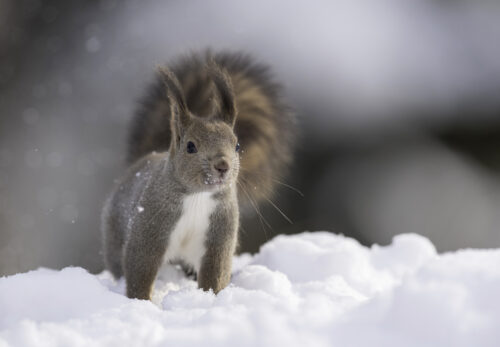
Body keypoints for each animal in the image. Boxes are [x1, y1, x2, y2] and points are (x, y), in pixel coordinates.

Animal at [102, 50, 296, 300]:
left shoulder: (219, 236)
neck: (197, 196)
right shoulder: (149, 229)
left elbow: (215, 273)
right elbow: (140, 272)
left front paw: (211, 298)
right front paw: (142, 302)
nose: (222, 165)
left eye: (237, 145)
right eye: (190, 146)